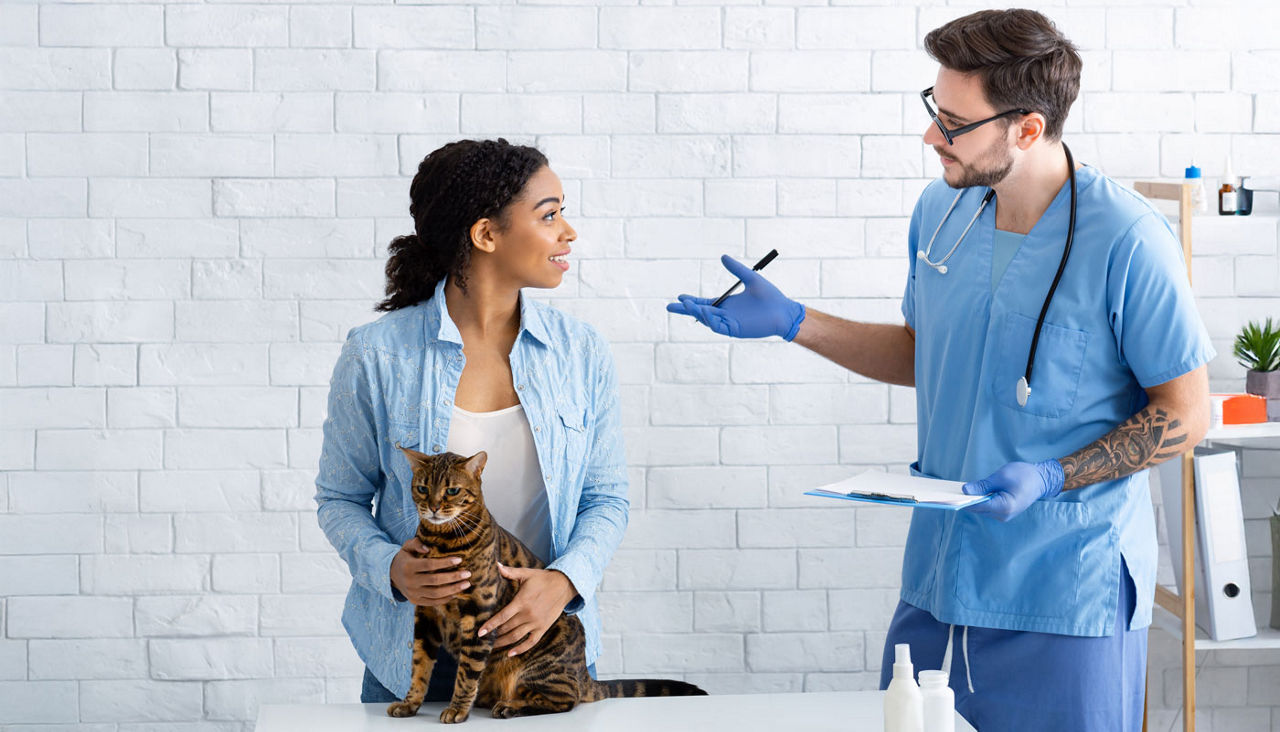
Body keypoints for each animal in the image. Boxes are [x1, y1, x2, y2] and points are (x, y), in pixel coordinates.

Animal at [389, 442, 711, 721]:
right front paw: (410, 703)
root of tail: (584, 674)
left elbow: (467, 672)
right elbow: (419, 667)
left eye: (452, 491)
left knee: (566, 699)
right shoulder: (426, 614)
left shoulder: (479, 612)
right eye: (422, 488)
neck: (440, 542)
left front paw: (457, 709)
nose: (432, 507)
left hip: (539, 665)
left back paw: (509, 706)